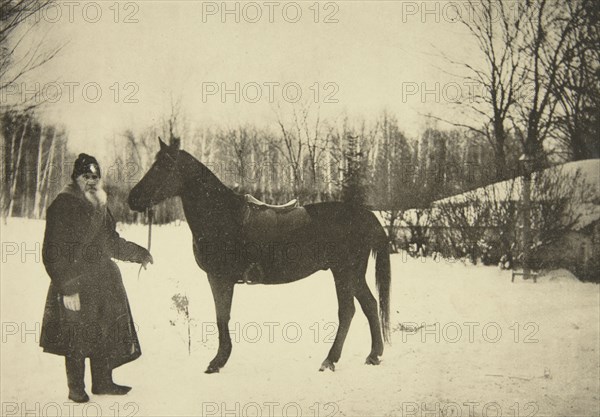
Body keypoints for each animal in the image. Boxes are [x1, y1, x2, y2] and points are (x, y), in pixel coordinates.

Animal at [128, 138, 392, 372]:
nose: (133, 199)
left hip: (344, 273)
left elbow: (222, 317)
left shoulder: (219, 278)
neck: (222, 217)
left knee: (348, 311)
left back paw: (330, 360)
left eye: (163, 167)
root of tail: (365, 214)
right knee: (370, 305)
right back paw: (374, 355)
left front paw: (218, 362)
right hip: (353, 274)